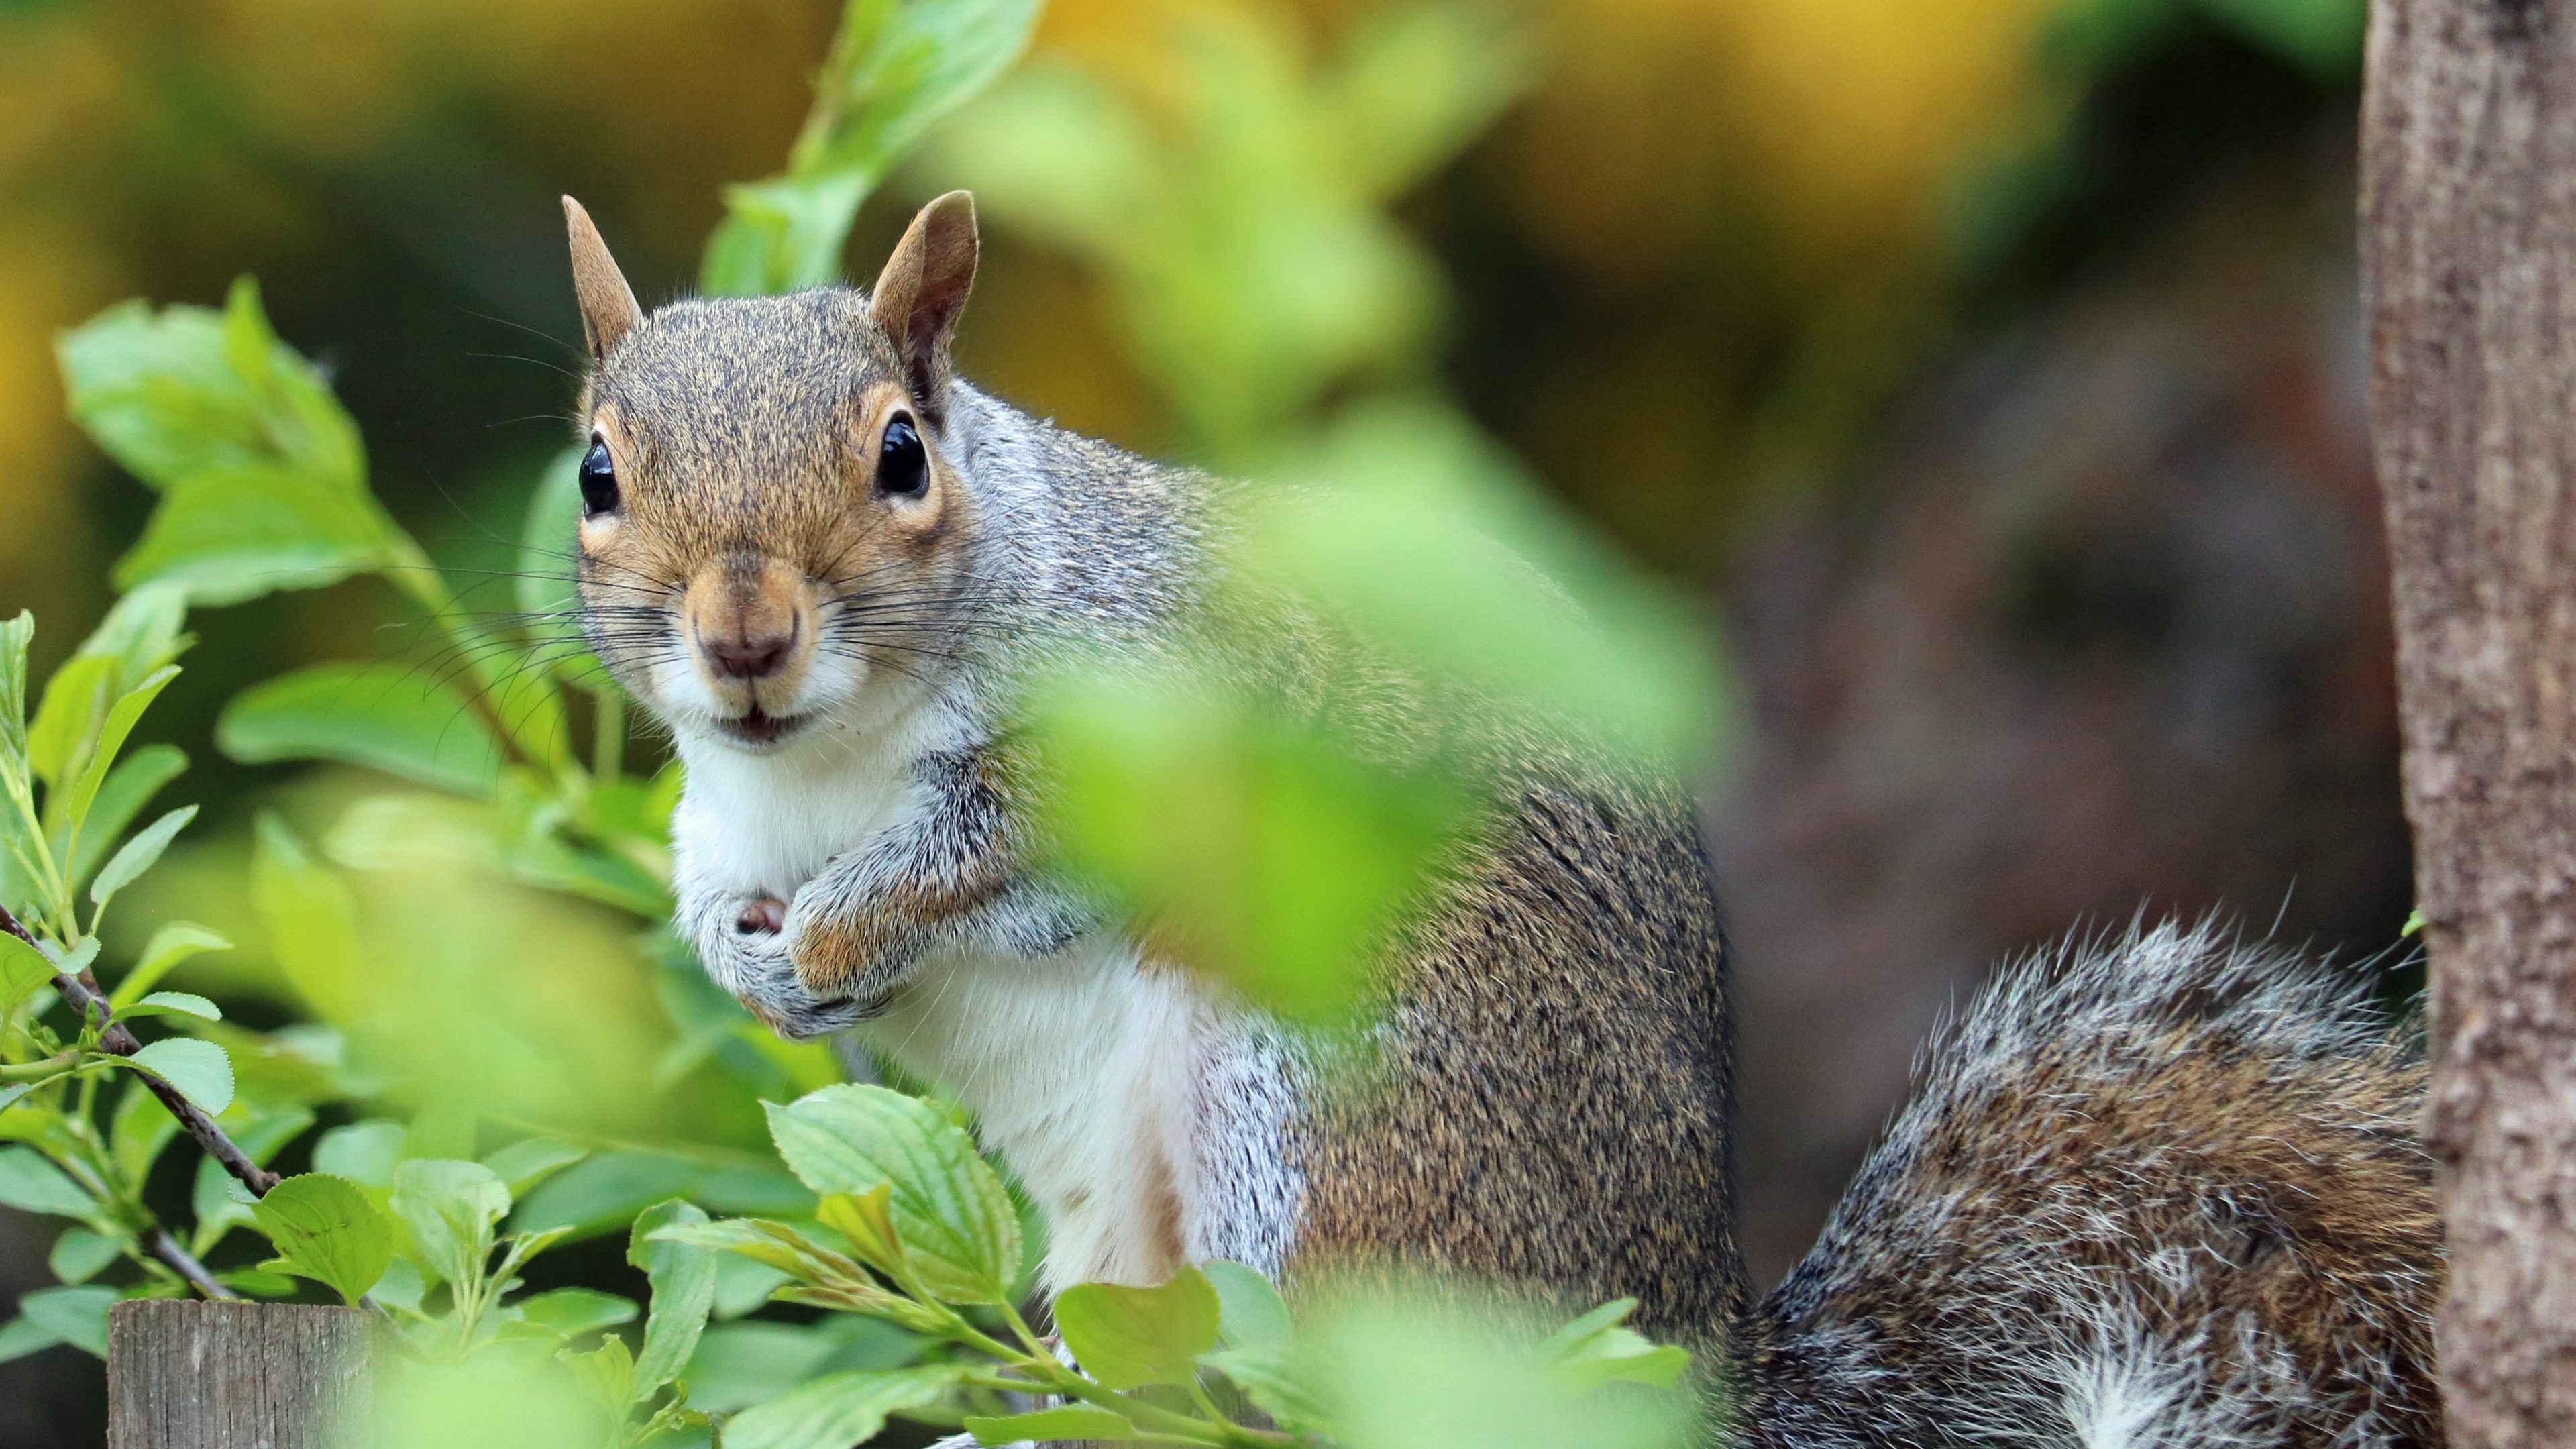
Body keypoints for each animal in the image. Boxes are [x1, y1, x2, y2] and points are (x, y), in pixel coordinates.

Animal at [559, 191, 2443, 1446]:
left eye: (901, 454)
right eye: (595, 470)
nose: (743, 639)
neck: (816, 763)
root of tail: (1686, 1368)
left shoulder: (1143, 728)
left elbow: (996, 856)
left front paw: (844, 930)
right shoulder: (718, 823)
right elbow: (711, 903)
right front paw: (759, 967)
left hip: (1326, 1104)